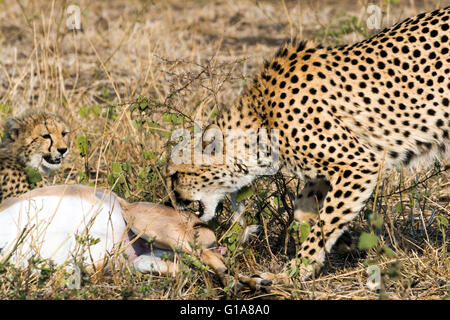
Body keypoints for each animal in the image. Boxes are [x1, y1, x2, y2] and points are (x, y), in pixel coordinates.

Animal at [166, 6, 450, 278]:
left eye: (174, 174)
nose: (171, 203)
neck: (261, 114)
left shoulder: (360, 164)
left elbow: (326, 219)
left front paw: (297, 269)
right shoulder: (327, 171)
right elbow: (304, 209)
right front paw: (344, 240)